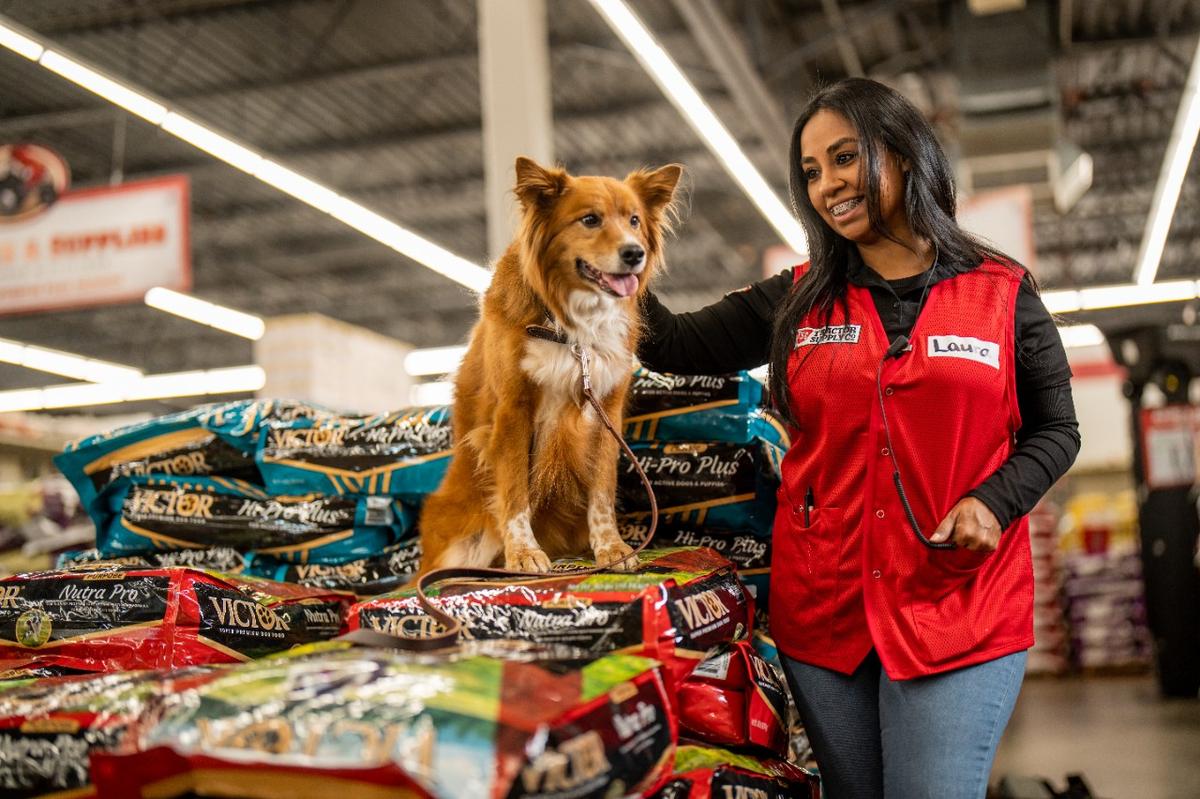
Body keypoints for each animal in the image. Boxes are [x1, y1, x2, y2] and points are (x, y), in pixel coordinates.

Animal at [420, 157, 686, 573]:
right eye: (590, 219)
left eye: (634, 221)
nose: (634, 253)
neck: (573, 326)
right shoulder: (513, 411)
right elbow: (515, 492)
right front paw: (523, 553)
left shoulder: (606, 411)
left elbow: (602, 490)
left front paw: (611, 547)